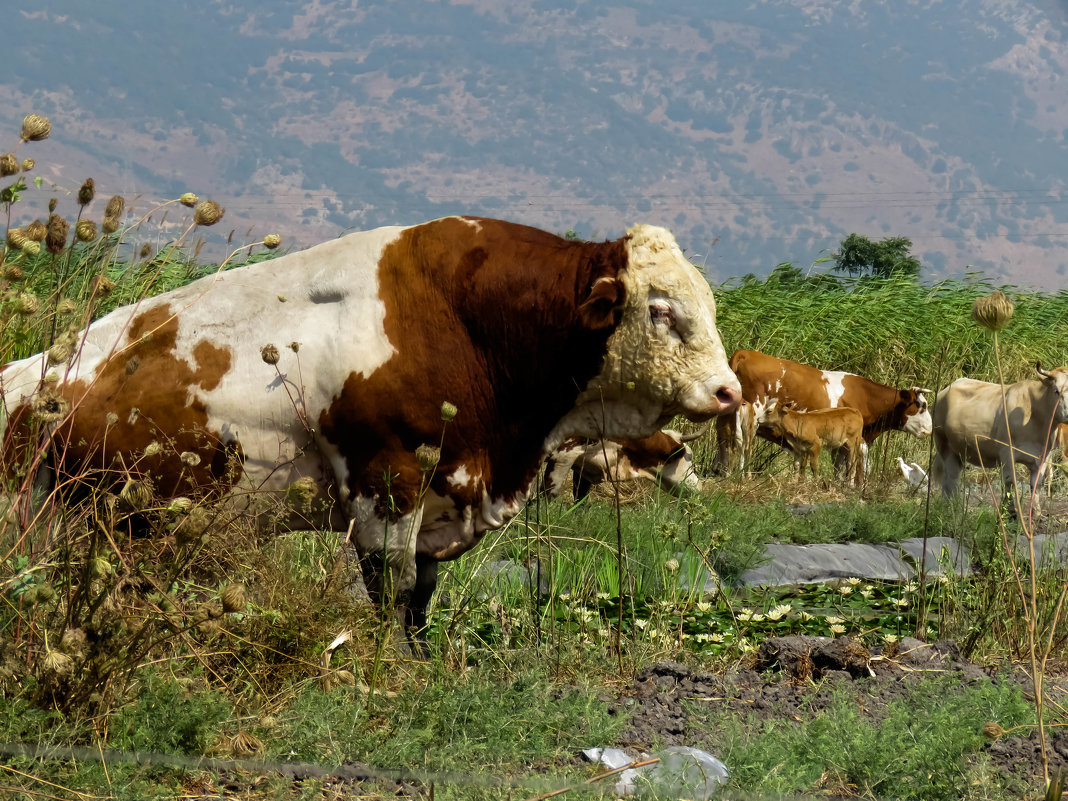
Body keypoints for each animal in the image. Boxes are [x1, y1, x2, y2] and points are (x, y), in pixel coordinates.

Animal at [717, 350, 935, 469]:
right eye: (922, 406)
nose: (930, 429)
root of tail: (746, 353)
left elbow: (840, 467)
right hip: (751, 415)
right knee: (744, 444)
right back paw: (742, 475)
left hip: (725, 416)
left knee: (724, 440)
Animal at [931, 363, 1068, 514]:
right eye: (1056, 391)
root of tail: (947, 389)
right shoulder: (1006, 452)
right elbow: (1009, 481)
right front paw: (1010, 511)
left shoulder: (1043, 456)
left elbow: (1036, 485)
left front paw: (1036, 513)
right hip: (943, 444)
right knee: (950, 477)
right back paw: (950, 506)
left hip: (959, 451)